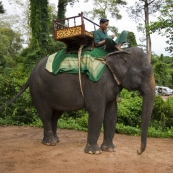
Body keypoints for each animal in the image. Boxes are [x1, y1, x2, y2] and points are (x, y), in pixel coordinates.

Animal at [0, 46, 155, 155]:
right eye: (143, 72)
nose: (138, 151)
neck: (119, 52)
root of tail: (31, 74)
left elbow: (111, 114)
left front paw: (110, 150)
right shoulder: (96, 84)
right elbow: (97, 111)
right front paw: (94, 152)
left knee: (55, 115)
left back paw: (56, 140)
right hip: (38, 89)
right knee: (45, 114)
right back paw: (50, 143)